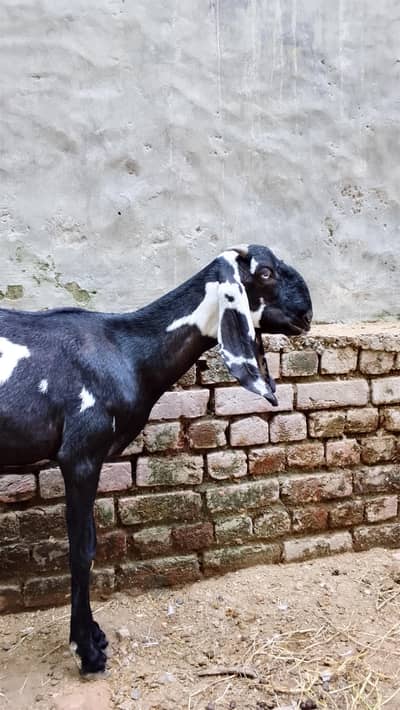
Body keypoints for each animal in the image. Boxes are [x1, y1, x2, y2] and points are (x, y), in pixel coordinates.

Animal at [0, 244, 312, 675]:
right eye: (264, 272)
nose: (307, 313)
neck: (124, 349)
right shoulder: (80, 454)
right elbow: (82, 552)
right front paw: (87, 652)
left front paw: (95, 635)